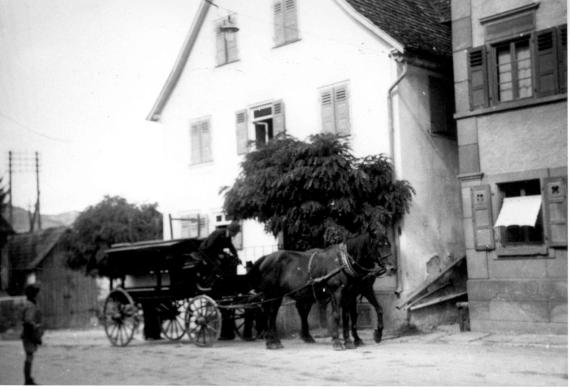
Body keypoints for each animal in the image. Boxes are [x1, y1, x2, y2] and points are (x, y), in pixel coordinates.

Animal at [248, 232, 390, 350]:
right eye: (378, 245)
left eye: (388, 244)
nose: (390, 267)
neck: (343, 262)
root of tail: (266, 257)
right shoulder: (337, 292)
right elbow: (337, 315)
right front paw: (337, 341)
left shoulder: (352, 293)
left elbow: (351, 316)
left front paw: (351, 341)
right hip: (272, 294)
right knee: (270, 314)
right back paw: (272, 341)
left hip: (283, 295)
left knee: (277, 314)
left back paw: (276, 340)